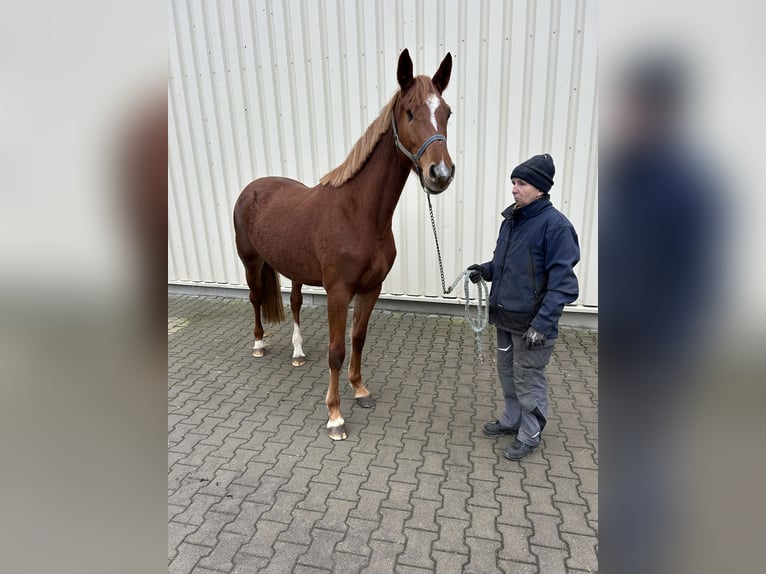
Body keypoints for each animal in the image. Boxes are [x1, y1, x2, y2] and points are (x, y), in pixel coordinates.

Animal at [233, 49, 454, 440]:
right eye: (410, 111)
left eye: (446, 112)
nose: (440, 174)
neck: (359, 215)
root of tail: (253, 187)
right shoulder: (338, 292)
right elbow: (336, 350)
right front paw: (335, 415)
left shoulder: (371, 288)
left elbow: (358, 338)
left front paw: (360, 389)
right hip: (251, 261)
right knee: (256, 298)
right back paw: (259, 344)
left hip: (293, 268)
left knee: (294, 303)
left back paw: (298, 352)